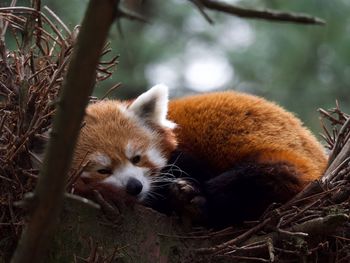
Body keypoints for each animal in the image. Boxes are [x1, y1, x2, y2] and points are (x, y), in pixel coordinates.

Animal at [69, 85, 326, 229]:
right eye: (103, 170)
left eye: (137, 158)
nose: (134, 186)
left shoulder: (186, 155)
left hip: (288, 164)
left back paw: (193, 199)